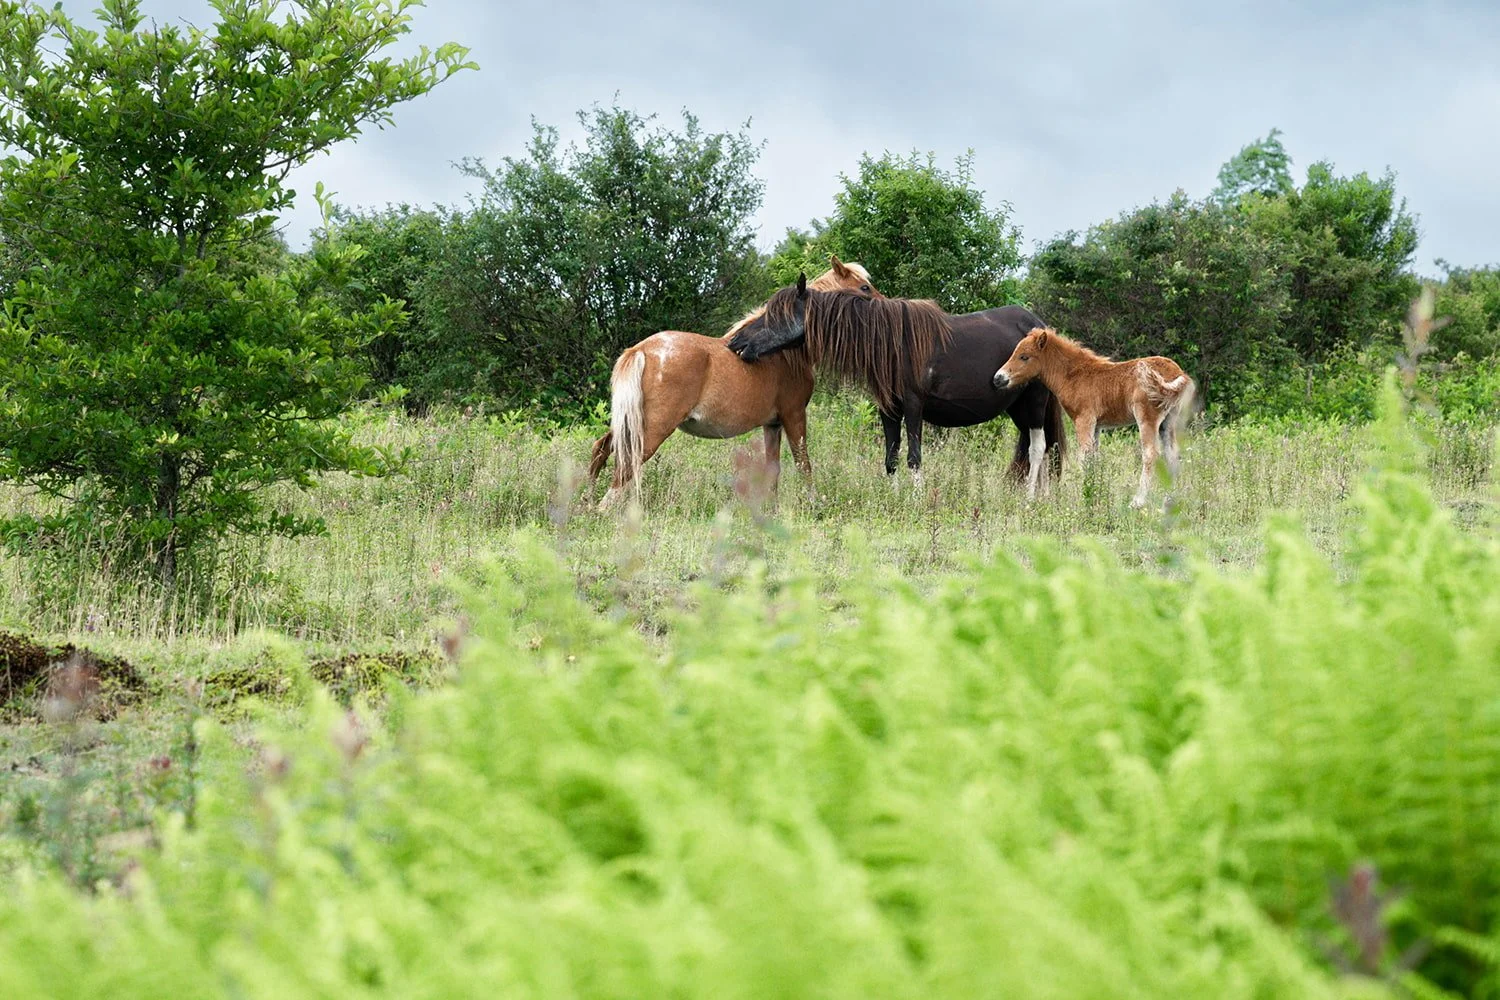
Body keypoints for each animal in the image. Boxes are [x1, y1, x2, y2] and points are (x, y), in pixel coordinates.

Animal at [589, 257, 881, 510]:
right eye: (864, 287)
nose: (882, 305)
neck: (781, 354)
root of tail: (641, 350)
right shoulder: (794, 415)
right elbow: (803, 463)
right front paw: (814, 504)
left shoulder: (772, 424)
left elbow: (773, 469)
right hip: (653, 429)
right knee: (626, 468)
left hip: (629, 423)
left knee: (601, 450)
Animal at [726, 277, 1066, 497]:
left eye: (775, 315)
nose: (736, 342)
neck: (890, 342)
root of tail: (1040, 327)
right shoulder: (887, 409)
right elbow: (891, 458)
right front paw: (894, 497)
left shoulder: (914, 406)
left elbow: (914, 457)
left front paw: (916, 501)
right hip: (1017, 408)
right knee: (1040, 447)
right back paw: (1043, 498)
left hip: (1034, 402)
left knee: (1038, 448)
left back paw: (1030, 500)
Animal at [991, 327, 1197, 508]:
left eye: (1024, 357)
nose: (998, 379)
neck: (1075, 375)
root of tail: (1177, 372)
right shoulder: (1097, 426)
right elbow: (1094, 459)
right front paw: (1095, 492)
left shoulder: (1084, 420)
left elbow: (1084, 458)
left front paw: (1082, 496)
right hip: (1168, 422)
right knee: (1172, 454)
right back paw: (1170, 499)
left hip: (1147, 418)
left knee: (1150, 454)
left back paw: (1138, 501)